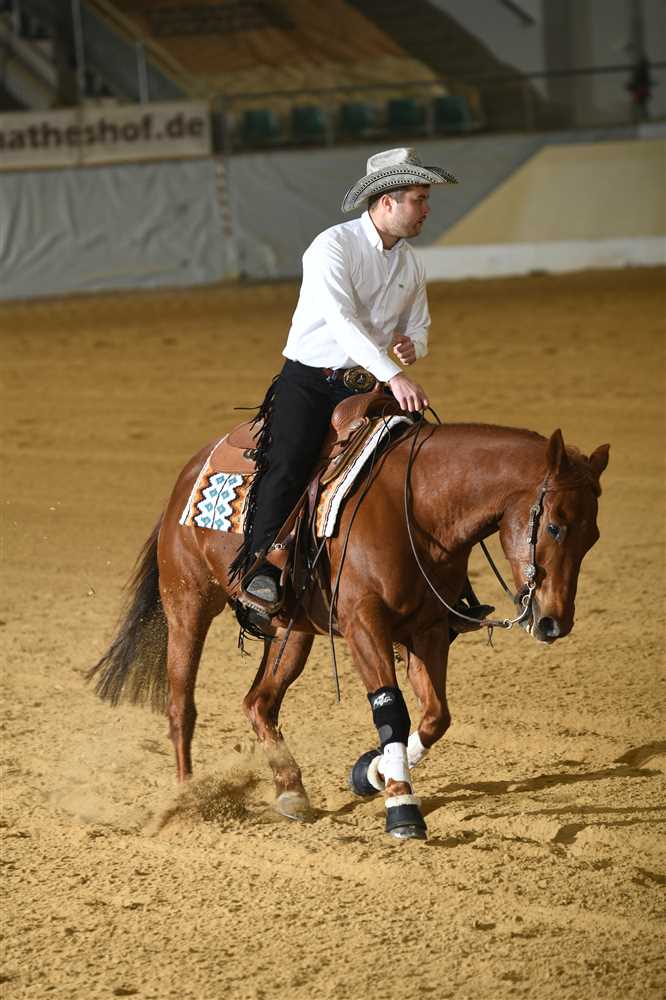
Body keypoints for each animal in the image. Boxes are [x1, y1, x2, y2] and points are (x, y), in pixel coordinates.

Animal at [89, 415, 609, 840]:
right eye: (556, 526)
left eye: (594, 536)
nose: (553, 622)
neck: (416, 506)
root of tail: (187, 475)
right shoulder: (364, 624)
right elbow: (392, 710)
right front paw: (402, 810)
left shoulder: (427, 630)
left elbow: (435, 716)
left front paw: (370, 773)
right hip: (187, 605)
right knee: (182, 707)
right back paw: (187, 803)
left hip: (292, 631)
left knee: (258, 702)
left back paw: (291, 790)